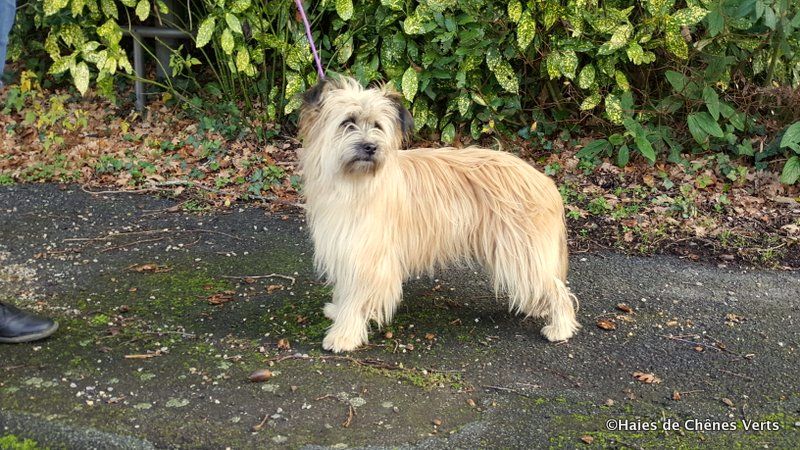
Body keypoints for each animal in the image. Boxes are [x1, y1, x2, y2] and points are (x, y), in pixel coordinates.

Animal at [296, 75, 580, 354]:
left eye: (377, 125)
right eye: (347, 122)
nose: (370, 147)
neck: (353, 183)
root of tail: (545, 181)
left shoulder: (368, 257)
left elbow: (356, 298)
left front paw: (343, 335)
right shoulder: (344, 247)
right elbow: (346, 290)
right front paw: (337, 311)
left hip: (523, 251)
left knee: (556, 288)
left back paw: (560, 327)